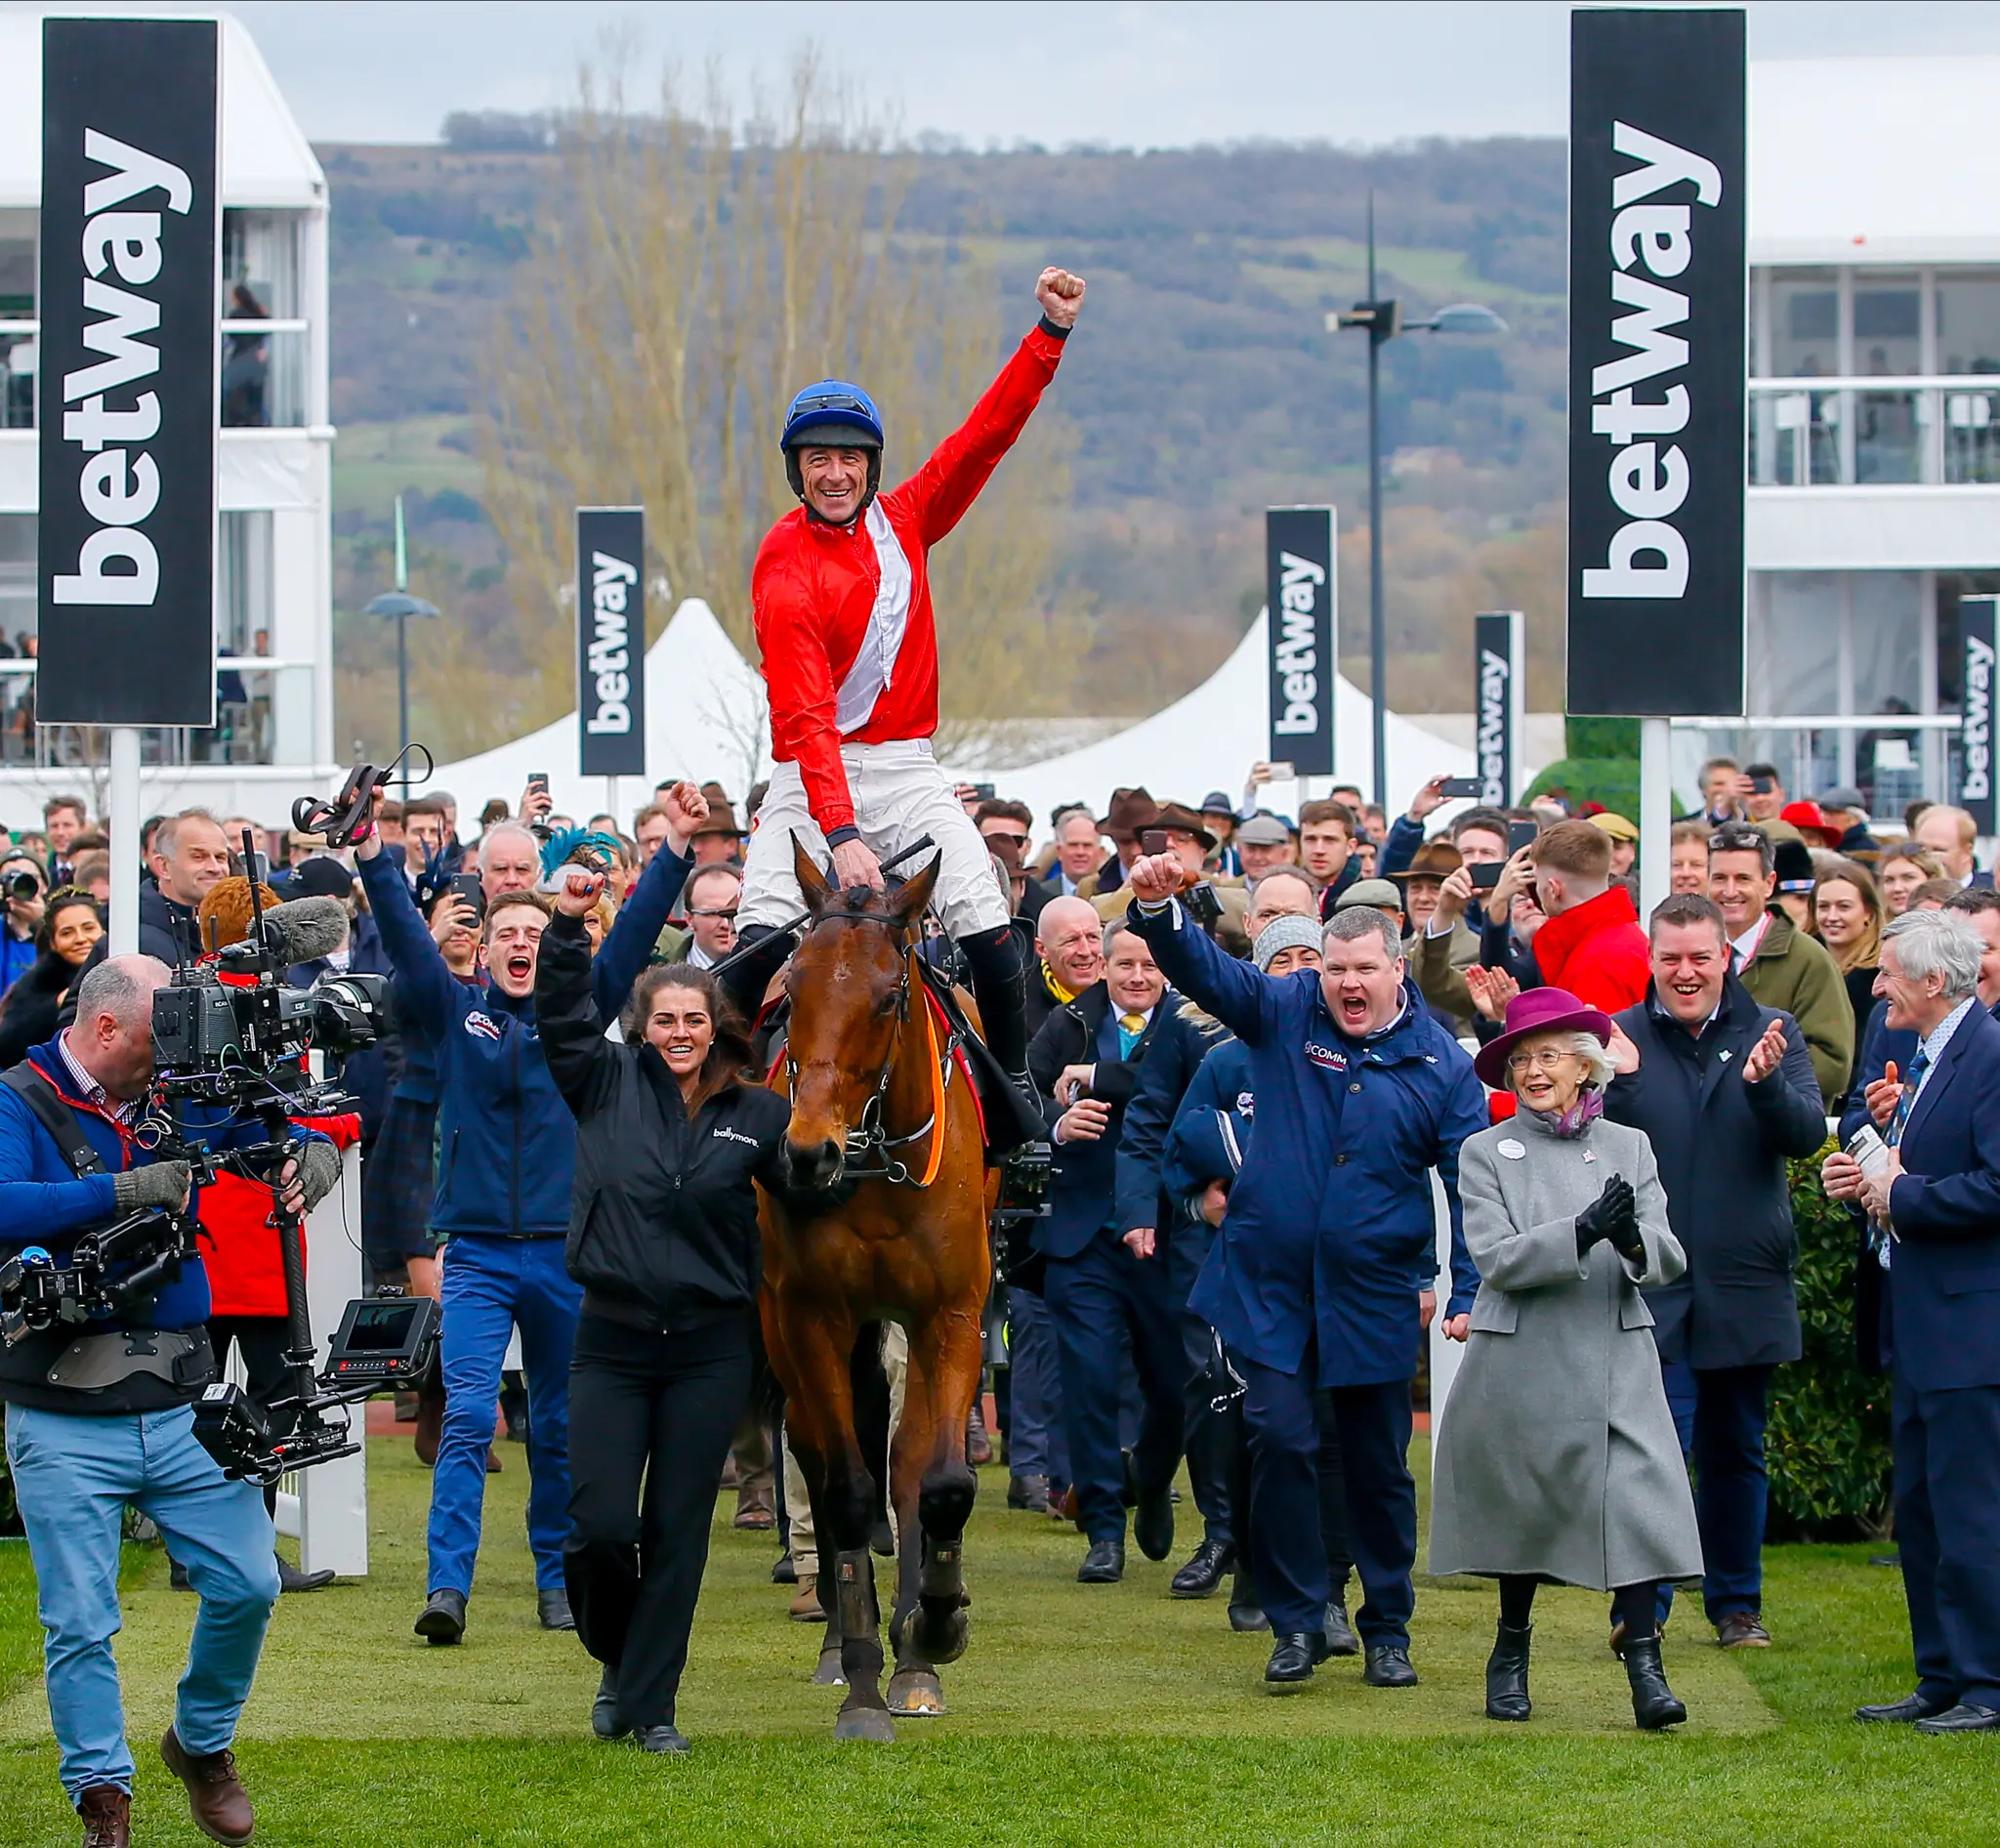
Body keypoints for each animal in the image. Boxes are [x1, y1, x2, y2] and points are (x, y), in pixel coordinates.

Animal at [757, 840, 997, 1743]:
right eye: (791, 991)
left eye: (891, 996)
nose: (807, 1154)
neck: (875, 1163)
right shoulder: (810, 1316)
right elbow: (845, 1488)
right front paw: (861, 1680)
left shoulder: (950, 1314)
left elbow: (940, 1481)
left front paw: (935, 1628)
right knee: (819, 1456)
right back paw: (840, 1643)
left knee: (905, 1462)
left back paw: (916, 1653)